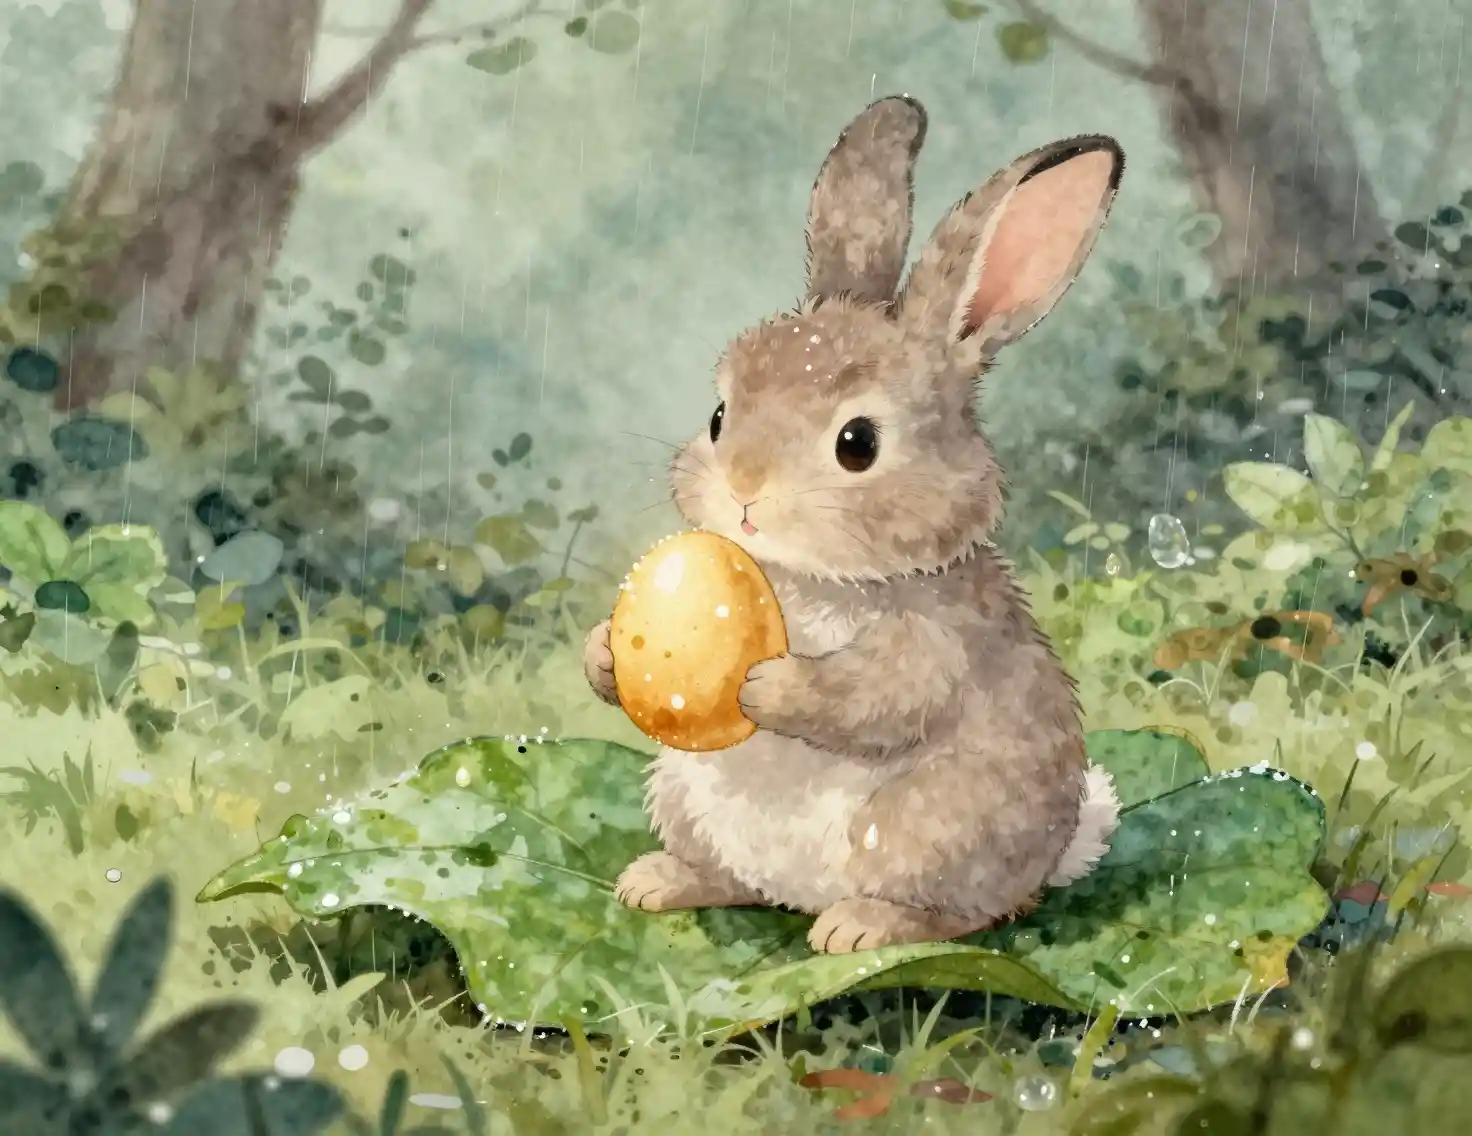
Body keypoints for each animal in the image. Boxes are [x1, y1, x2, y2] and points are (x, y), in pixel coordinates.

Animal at [584, 94, 1125, 955]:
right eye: (719, 417)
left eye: (857, 444)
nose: (743, 492)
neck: (808, 579)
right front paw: (604, 654)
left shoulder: (934, 646)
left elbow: (874, 698)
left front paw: (766, 684)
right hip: (681, 790)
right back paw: (659, 882)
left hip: (928, 825)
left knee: (959, 915)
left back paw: (858, 928)